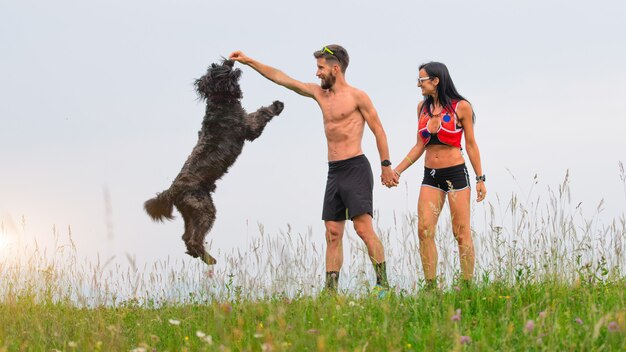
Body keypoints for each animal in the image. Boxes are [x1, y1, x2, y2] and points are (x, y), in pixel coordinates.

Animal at [144, 59, 282, 264]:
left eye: (214, 67)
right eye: (221, 69)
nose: (230, 60)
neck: (219, 101)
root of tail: (172, 191)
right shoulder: (248, 128)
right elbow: (261, 113)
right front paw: (277, 105)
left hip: (190, 212)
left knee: (186, 237)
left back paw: (198, 254)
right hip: (204, 210)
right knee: (194, 238)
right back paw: (209, 259)